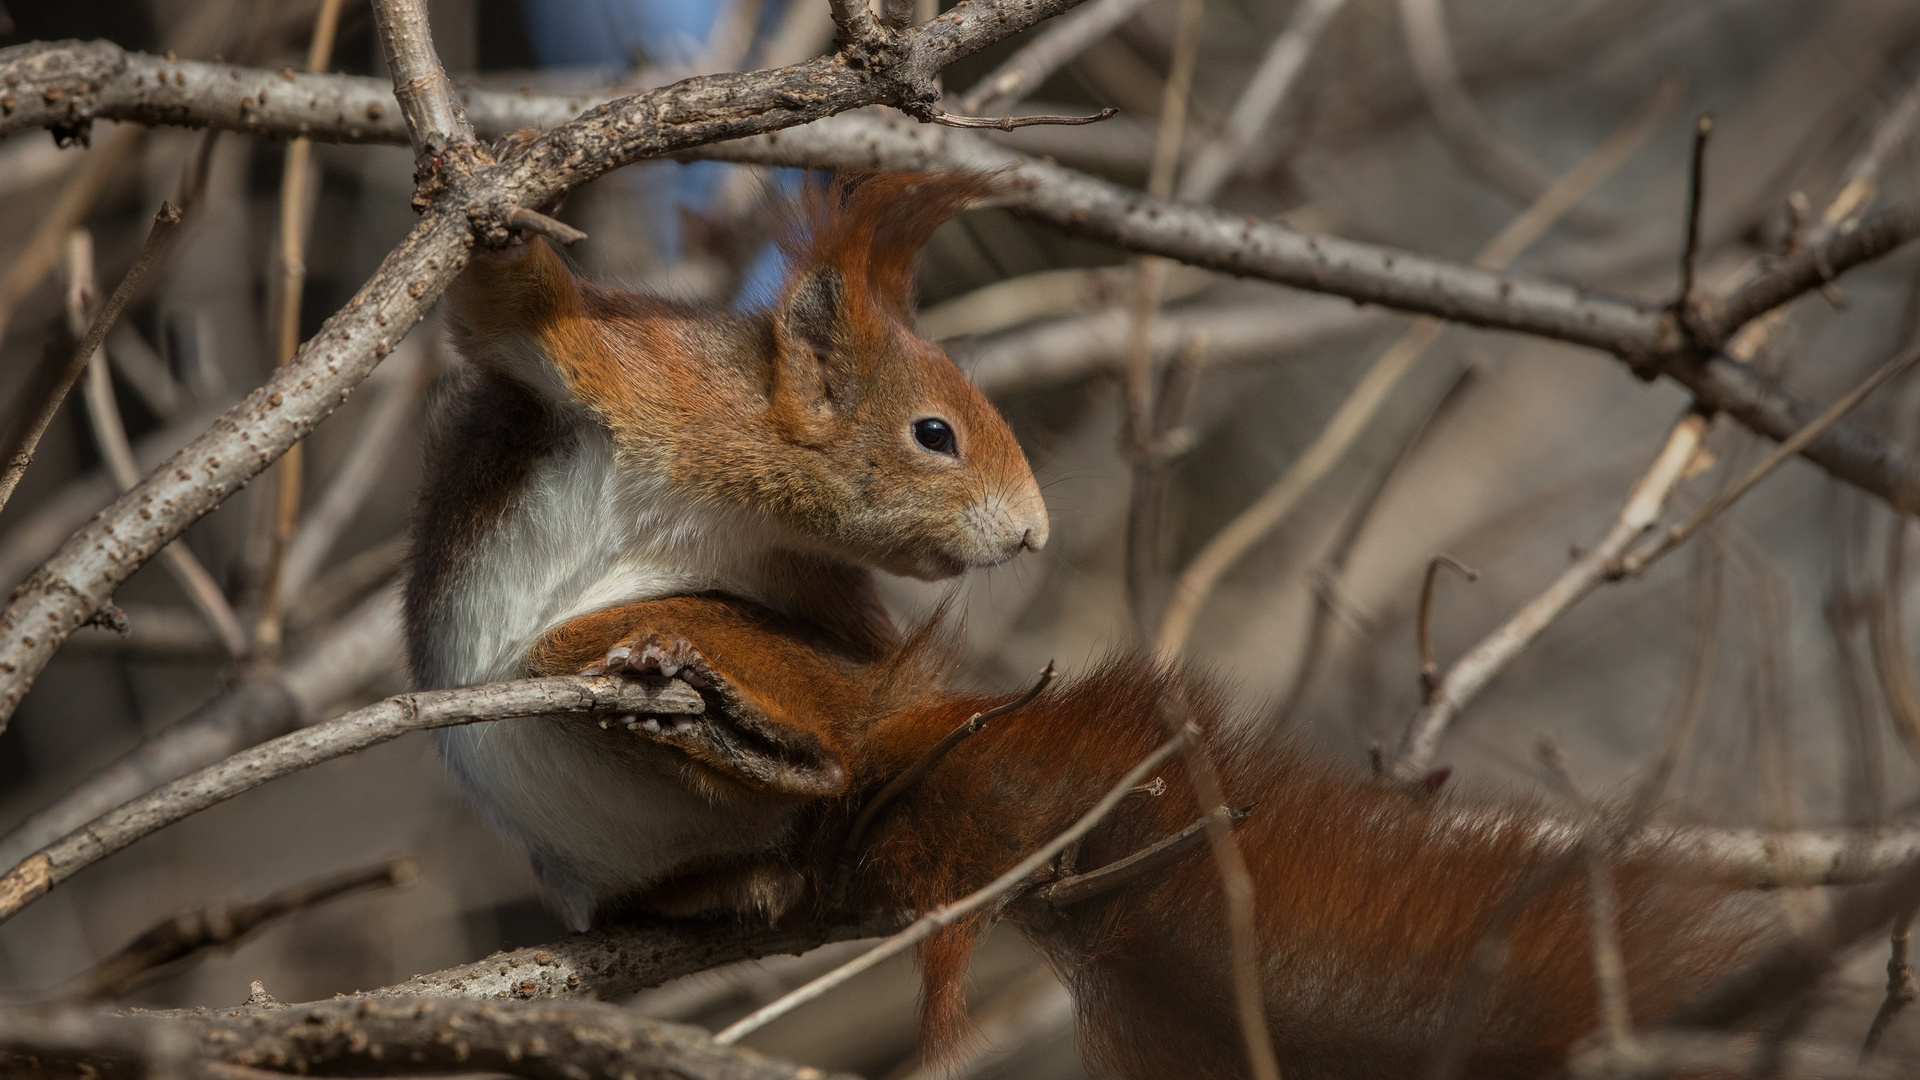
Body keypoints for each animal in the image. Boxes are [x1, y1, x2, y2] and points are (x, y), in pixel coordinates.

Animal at [403, 170, 1052, 926]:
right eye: (934, 434)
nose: (1035, 531)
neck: (736, 499)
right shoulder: (633, 371)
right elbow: (508, 312)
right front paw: (496, 219)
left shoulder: (807, 569)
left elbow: (873, 651)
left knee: (845, 756)